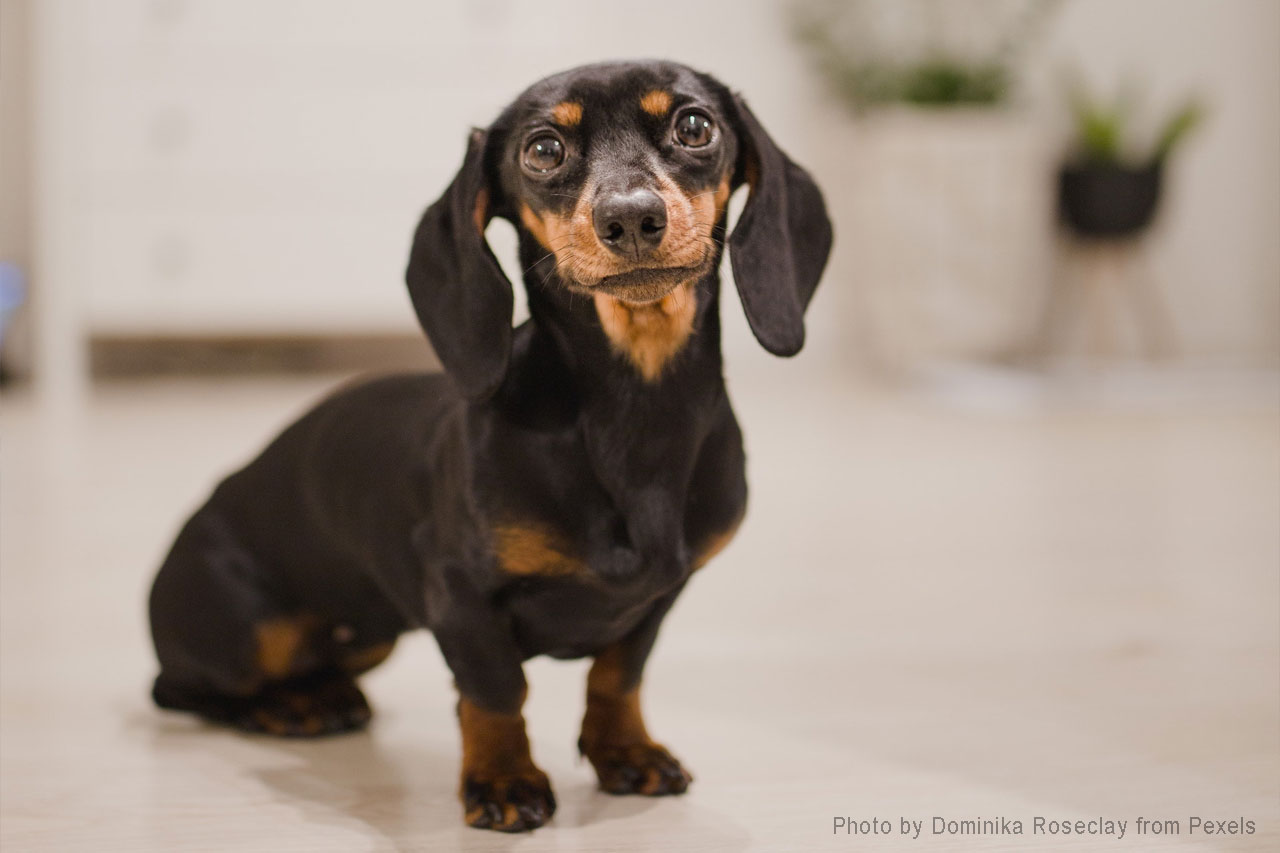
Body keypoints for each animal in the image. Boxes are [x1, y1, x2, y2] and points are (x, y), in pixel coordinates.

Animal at [147, 59, 829, 829]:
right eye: (543, 149)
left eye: (694, 125)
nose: (630, 217)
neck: (636, 411)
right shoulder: (459, 596)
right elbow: (497, 693)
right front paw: (504, 780)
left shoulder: (659, 596)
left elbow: (619, 675)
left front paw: (624, 752)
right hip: (244, 630)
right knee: (188, 688)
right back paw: (291, 707)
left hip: (372, 635)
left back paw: (325, 694)